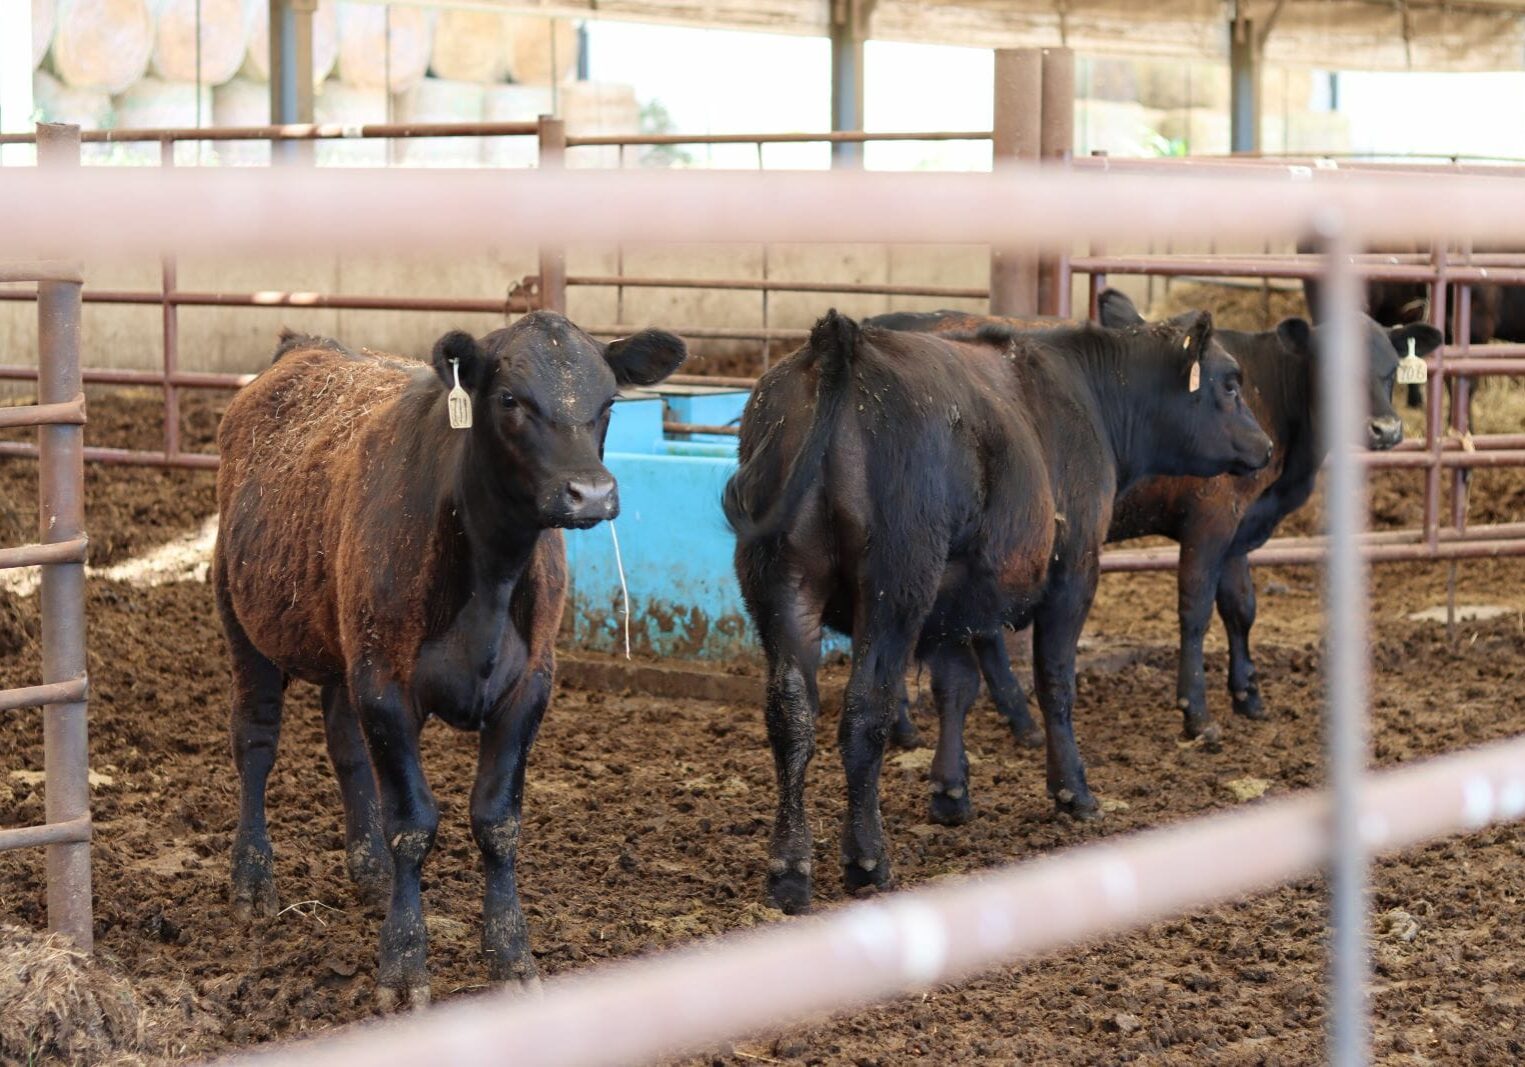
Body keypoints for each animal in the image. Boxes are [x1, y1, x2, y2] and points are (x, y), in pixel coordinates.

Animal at [214, 312, 686, 1008]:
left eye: (608, 403)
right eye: (511, 399)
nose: (591, 494)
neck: (490, 574)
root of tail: (304, 348)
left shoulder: (529, 687)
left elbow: (497, 821)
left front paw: (512, 956)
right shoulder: (386, 686)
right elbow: (413, 823)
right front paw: (404, 964)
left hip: (344, 643)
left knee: (345, 745)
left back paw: (370, 871)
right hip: (244, 620)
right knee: (255, 743)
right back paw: (252, 879)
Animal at [723, 309, 1271, 913]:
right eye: (1230, 383)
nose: (1267, 446)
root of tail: (840, 341)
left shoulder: (953, 600)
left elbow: (956, 686)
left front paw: (951, 791)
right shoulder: (1073, 571)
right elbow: (1055, 682)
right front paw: (1073, 791)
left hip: (783, 585)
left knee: (791, 712)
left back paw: (789, 869)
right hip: (895, 587)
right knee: (866, 710)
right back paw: (867, 859)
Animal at [883, 292, 1441, 747]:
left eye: (1391, 368)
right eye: (1332, 370)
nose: (1387, 430)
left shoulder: (1238, 531)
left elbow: (1241, 607)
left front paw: (1248, 695)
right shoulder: (1210, 521)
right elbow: (1195, 612)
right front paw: (1198, 715)